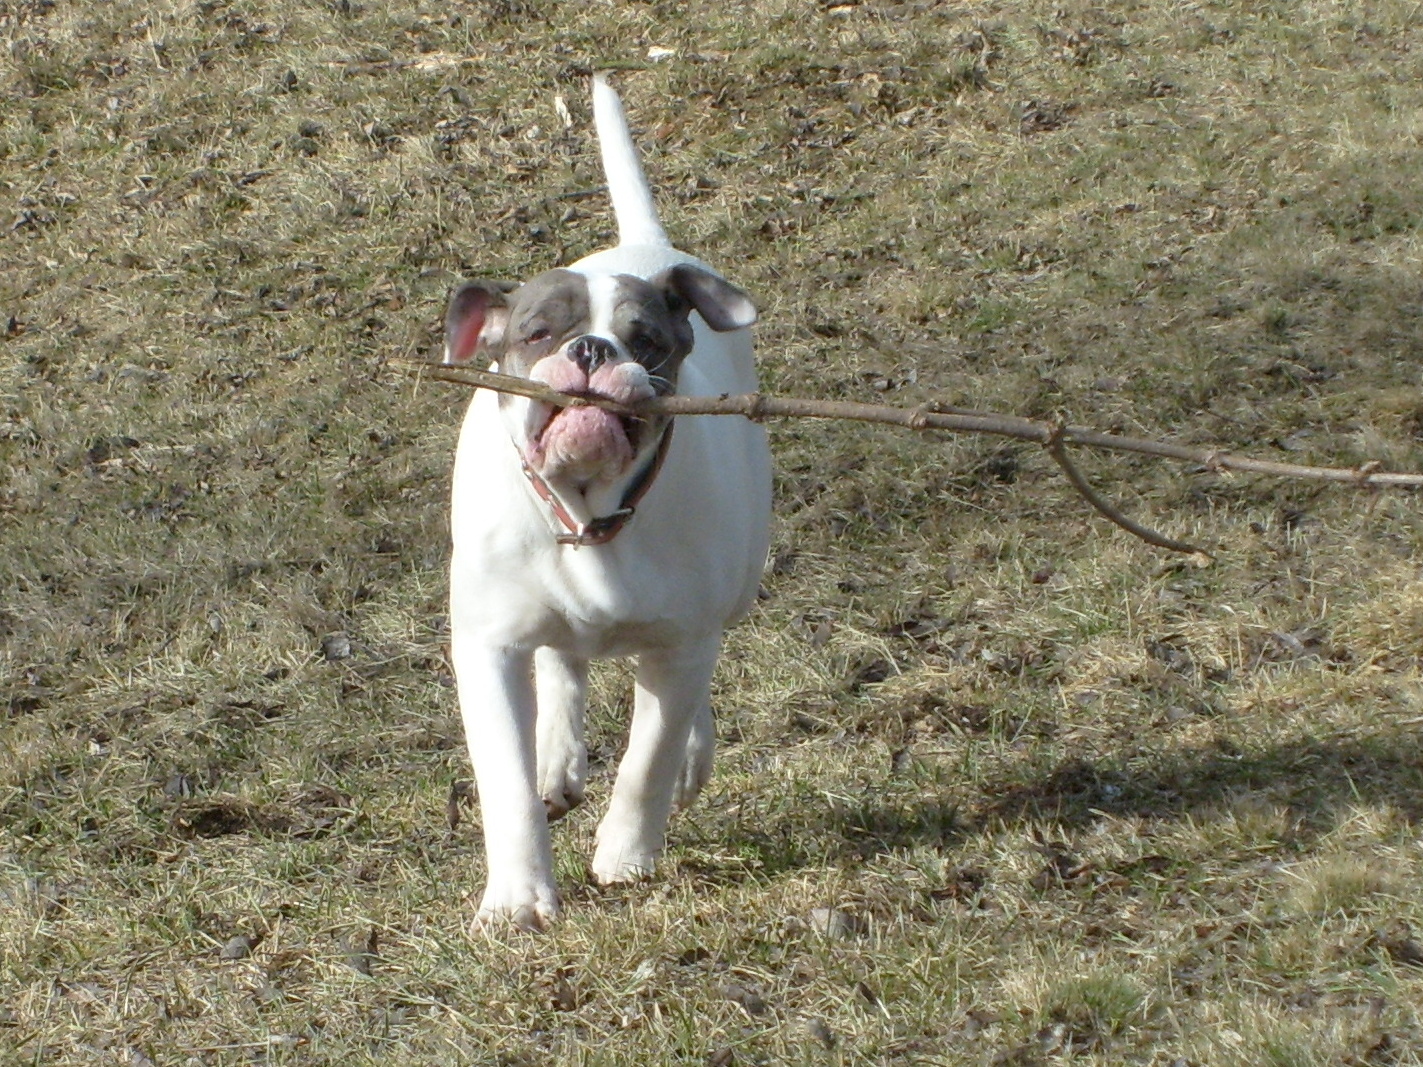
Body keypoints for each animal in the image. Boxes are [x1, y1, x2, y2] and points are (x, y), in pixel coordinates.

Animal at [446, 75, 774, 933]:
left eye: (647, 339)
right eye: (535, 333)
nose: (592, 350)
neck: (589, 509)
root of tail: (646, 246)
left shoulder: (683, 640)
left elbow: (647, 756)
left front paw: (626, 853)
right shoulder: (487, 648)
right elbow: (504, 781)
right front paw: (517, 897)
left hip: (729, 590)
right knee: (561, 660)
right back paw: (556, 757)